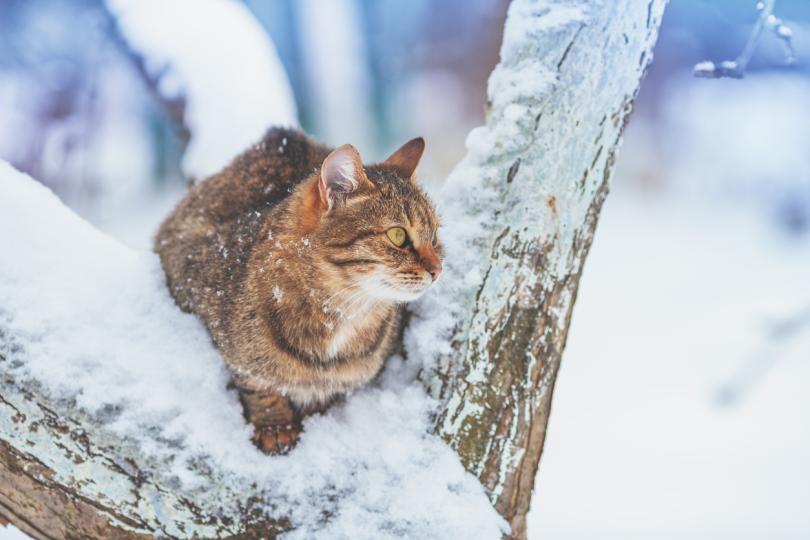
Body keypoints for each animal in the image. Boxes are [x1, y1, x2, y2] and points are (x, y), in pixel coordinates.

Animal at [152, 129, 442, 454]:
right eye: (398, 235)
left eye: (434, 237)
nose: (438, 269)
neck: (341, 313)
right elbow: (257, 384)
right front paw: (275, 425)